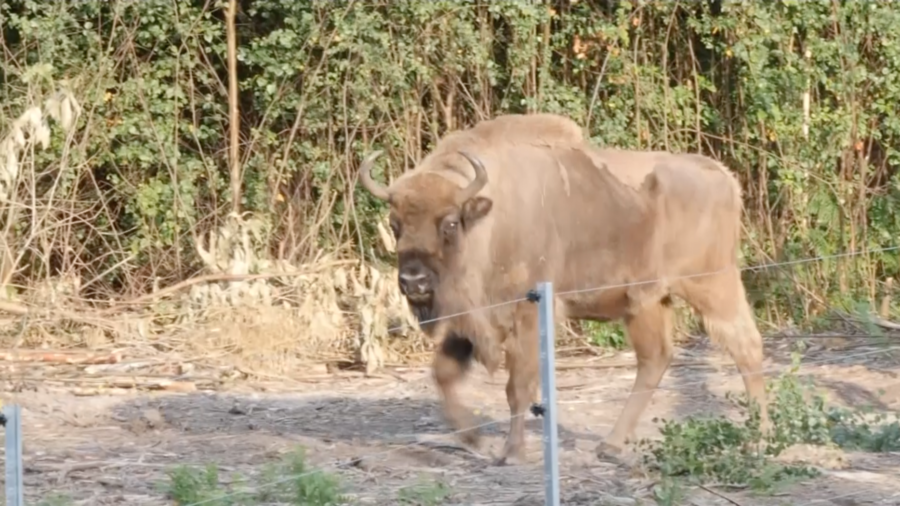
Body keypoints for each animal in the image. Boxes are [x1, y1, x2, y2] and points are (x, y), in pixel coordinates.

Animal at [358, 113, 769, 465]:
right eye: (395, 224)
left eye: (449, 223)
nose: (414, 281)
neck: (489, 220)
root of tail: (724, 177)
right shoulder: (470, 320)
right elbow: (443, 373)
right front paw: (476, 440)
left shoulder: (527, 314)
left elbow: (518, 387)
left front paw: (512, 453)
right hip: (647, 303)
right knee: (655, 359)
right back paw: (611, 445)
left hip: (712, 286)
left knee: (746, 346)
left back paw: (760, 439)